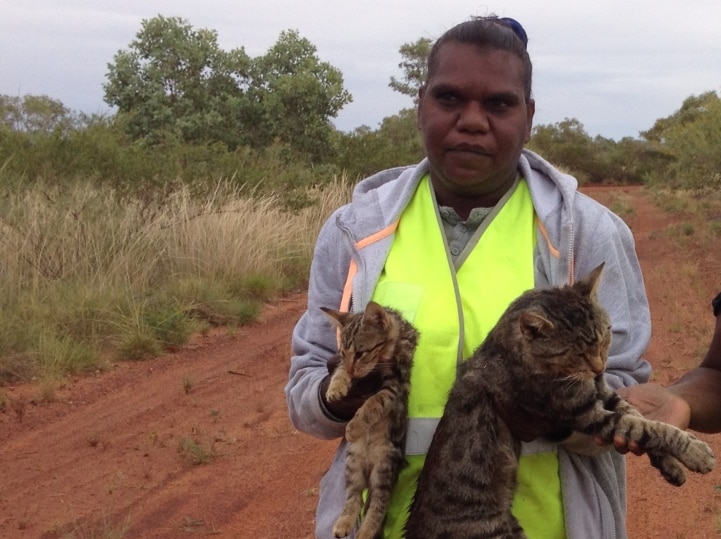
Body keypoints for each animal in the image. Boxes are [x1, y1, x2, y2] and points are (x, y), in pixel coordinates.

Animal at [320, 302, 416, 539]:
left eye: (361, 353)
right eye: (343, 353)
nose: (353, 368)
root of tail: (368, 463)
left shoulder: (395, 385)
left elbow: (374, 402)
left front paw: (354, 426)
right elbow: (339, 370)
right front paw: (335, 387)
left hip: (384, 466)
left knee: (378, 506)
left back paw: (365, 531)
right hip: (353, 464)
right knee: (353, 496)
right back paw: (343, 523)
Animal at [404, 264, 716, 539]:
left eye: (605, 336)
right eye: (577, 353)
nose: (600, 367)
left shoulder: (603, 393)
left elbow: (640, 417)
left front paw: (671, 465)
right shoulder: (586, 412)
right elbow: (648, 428)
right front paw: (695, 451)